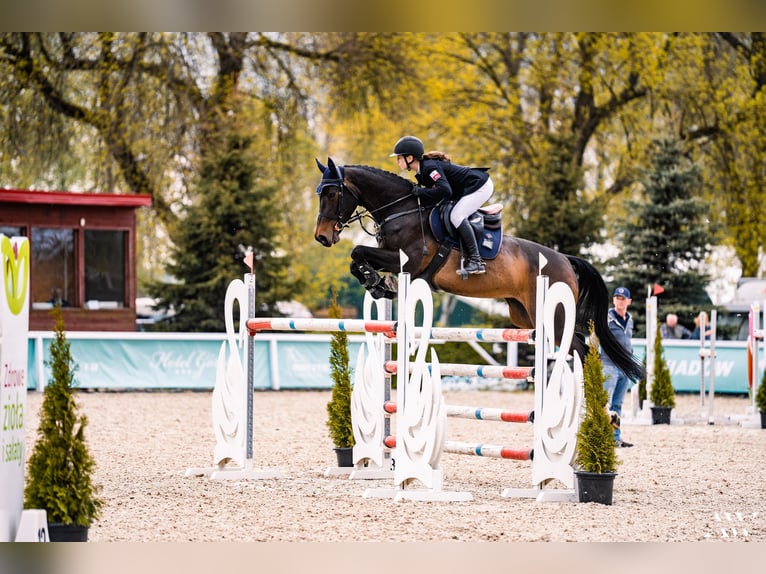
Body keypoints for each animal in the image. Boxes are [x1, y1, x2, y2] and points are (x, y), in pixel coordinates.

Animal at [316, 158, 644, 382]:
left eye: (332, 194)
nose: (322, 237)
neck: (402, 209)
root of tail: (565, 259)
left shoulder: (408, 261)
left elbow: (358, 251)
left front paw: (375, 281)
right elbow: (356, 259)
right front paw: (378, 284)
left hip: (553, 316)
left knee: (579, 350)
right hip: (523, 314)